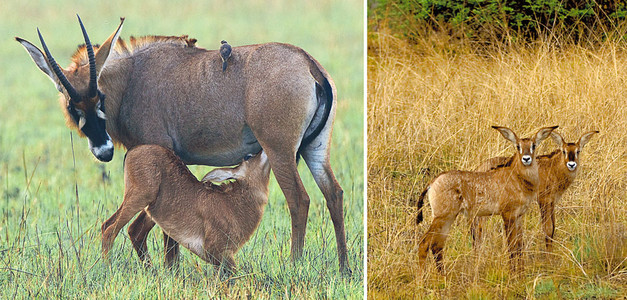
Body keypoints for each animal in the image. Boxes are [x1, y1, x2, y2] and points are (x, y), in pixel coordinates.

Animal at [102, 146, 272, 276]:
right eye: (249, 156)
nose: (263, 148)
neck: (234, 203)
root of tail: (132, 151)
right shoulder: (217, 252)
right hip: (141, 196)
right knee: (110, 229)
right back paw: (108, 270)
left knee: (122, 228)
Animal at [414, 125, 556, 270]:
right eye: (518, 146)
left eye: (533, 145)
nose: (526, 159)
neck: (517, 177)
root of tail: (432, 182)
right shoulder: (508, 215)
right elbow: (512, 247)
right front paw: (513, 273)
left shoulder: (519, 216)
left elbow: (519, 247)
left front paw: (520, 272)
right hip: (441, 217)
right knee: (424, 243)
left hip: (448, 218)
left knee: (437, 246)